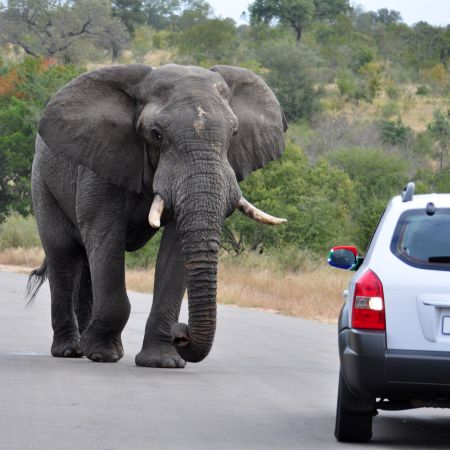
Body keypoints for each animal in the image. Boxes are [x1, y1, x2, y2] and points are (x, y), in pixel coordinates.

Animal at [28, 63, 286, 368]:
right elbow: (105, 236)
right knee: (63, 255)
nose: (182, 334)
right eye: (156, 134)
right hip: (42, 182)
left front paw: (163, 361)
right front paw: (103, 354)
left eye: (234, 134)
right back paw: (70, 350)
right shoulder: (100, 162)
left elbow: (175, 249)